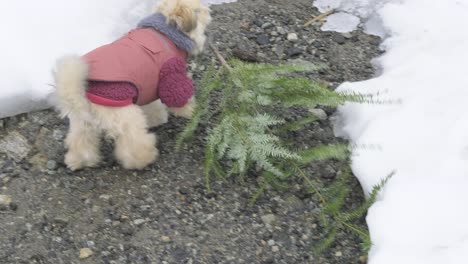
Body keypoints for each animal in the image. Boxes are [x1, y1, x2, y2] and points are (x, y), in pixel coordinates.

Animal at [52, 0, 211, 170]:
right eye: (200, 11)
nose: (209, 10)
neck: (166, 31)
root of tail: (81, 93)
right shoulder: (171, 75)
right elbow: (180, 99)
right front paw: (192, 111)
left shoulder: (147, 85)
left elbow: (152, 106)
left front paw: (157, 118)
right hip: (126, 117)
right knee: (133, 145)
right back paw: (145, 158)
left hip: (83, 123)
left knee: (81, 141)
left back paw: (80, 160)